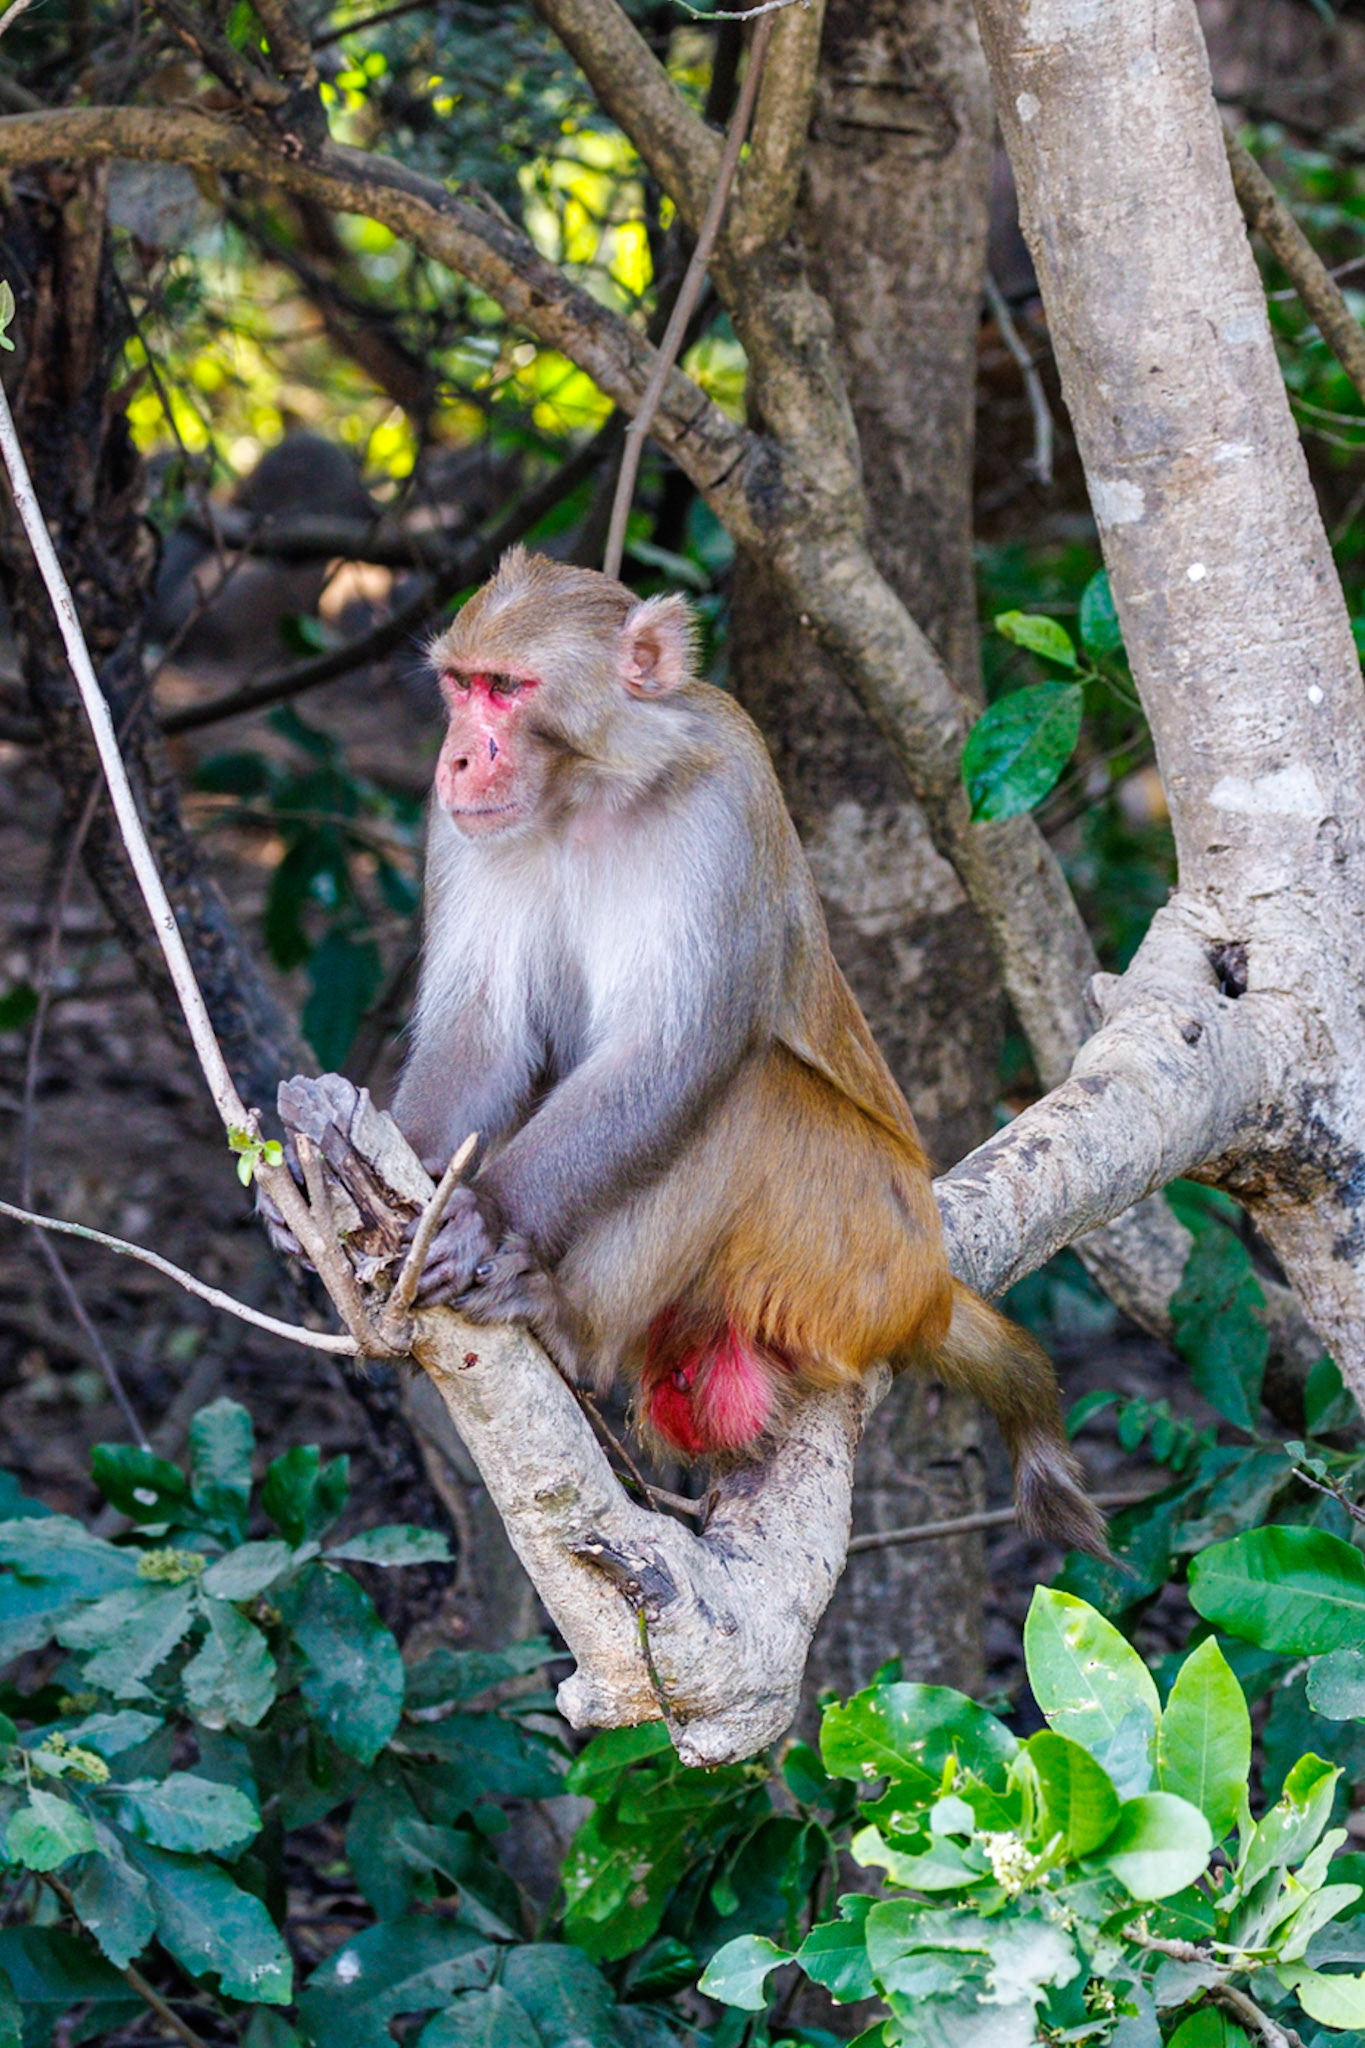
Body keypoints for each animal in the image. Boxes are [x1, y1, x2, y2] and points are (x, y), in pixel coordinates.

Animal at [368, 546, 1106, 1557]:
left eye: (509, 690)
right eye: (460, 685)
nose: (455, 754)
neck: (587, 794)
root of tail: (928, 1290)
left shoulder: (725, 802)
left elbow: (673, 1053)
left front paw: (484, 1211)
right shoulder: (458, 828)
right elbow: (481, 1035)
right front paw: (347, 1153)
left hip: (859, 1255)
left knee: (746, 1091)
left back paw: (569, 1324)